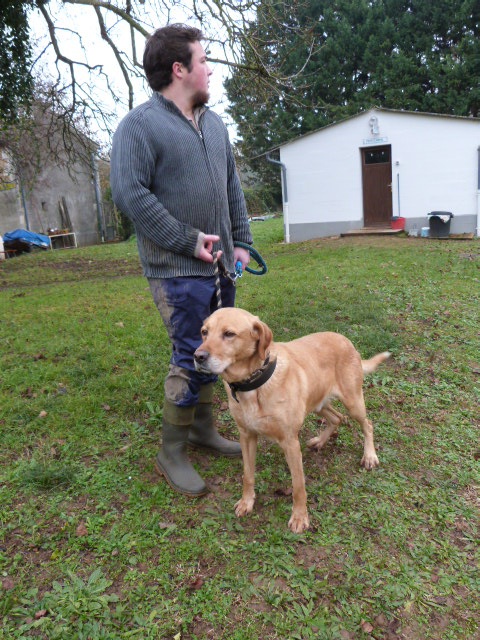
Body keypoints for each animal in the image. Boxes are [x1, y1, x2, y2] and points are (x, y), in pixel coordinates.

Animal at [194, 308, 390, 532]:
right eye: (204, 332)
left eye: (229, 334)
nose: (197, 356)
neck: (254, 384)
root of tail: (346, 340)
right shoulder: (247, 436)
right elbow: (247, 474)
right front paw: (247, 502)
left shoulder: (290, 442)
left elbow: (298, 486)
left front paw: (299, 517)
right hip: (318, 404)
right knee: (337, 418)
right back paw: (320, 441)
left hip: (353, 402)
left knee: (367, 424)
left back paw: (370, 456)